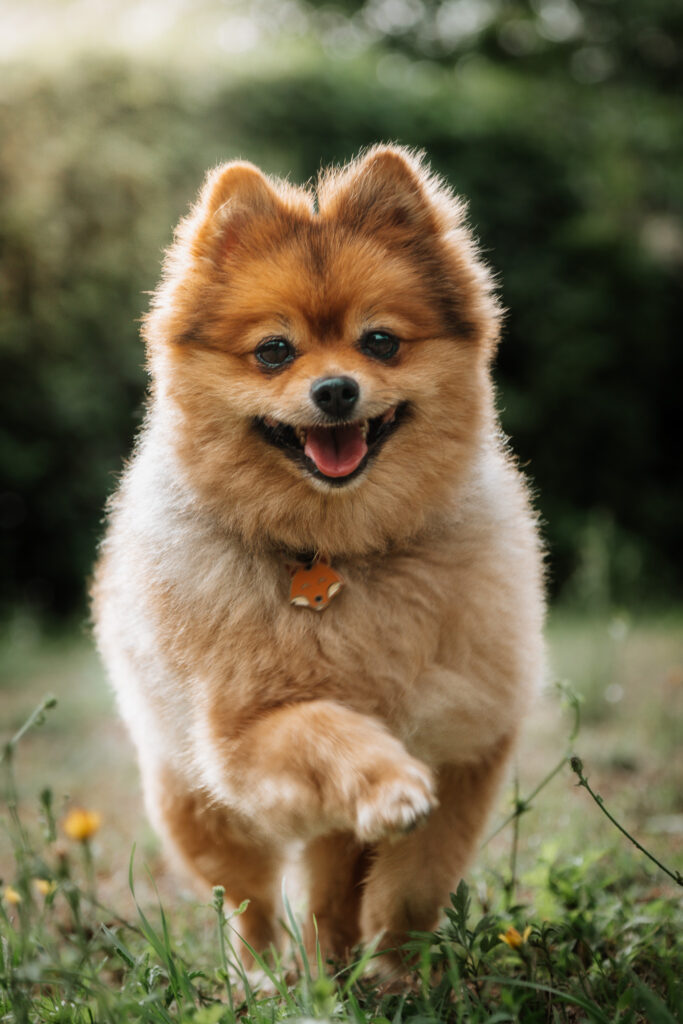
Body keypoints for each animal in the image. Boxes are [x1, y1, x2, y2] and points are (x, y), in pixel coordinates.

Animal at [94, 146, 544, 966]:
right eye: (274, 351)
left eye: (381, 342)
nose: (336, 389)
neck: (340, 550)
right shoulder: (244, 734)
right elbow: (323, 728)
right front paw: (388, 785)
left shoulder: (467, 735)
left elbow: (419, 881)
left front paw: (399, 966)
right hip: (190, 800)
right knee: (249, 906)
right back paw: (269, 975)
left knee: (331, 888)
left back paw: (336, 965)